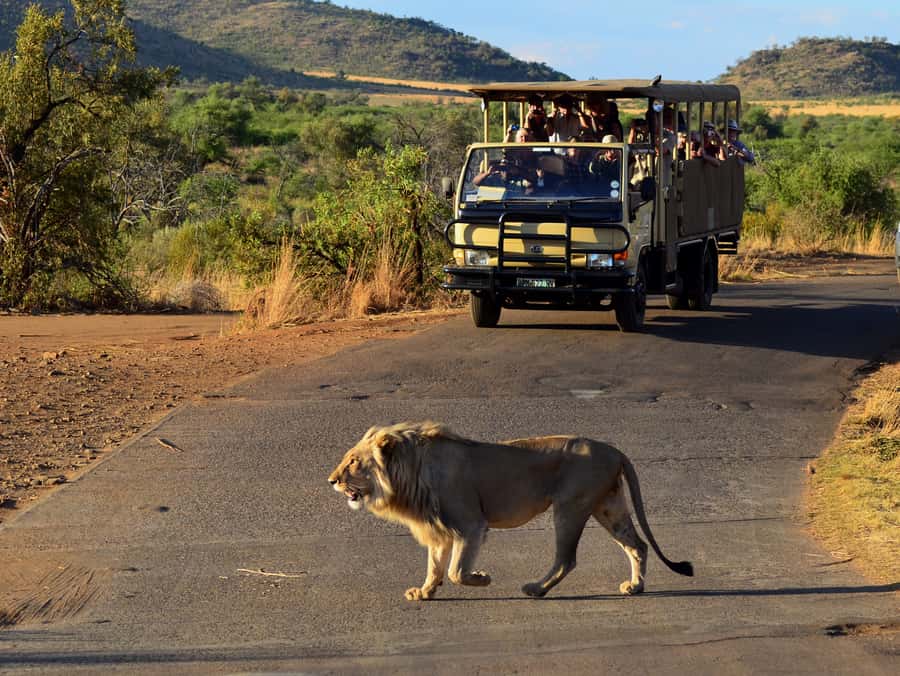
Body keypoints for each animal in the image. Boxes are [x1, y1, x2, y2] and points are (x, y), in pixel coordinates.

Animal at [328, 421, 693, 601]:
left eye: (353, 461)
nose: (331, 480)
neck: (411, 471)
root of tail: (615, 450)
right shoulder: (437, 528)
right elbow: (434, 566)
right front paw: (424, 593)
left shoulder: (471, 524)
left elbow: (456, 571)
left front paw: (482, 578)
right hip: (608, 506)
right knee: (637, 545)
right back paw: (635, 587)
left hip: (570, 507)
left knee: (567, 559)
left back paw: (536, 590)